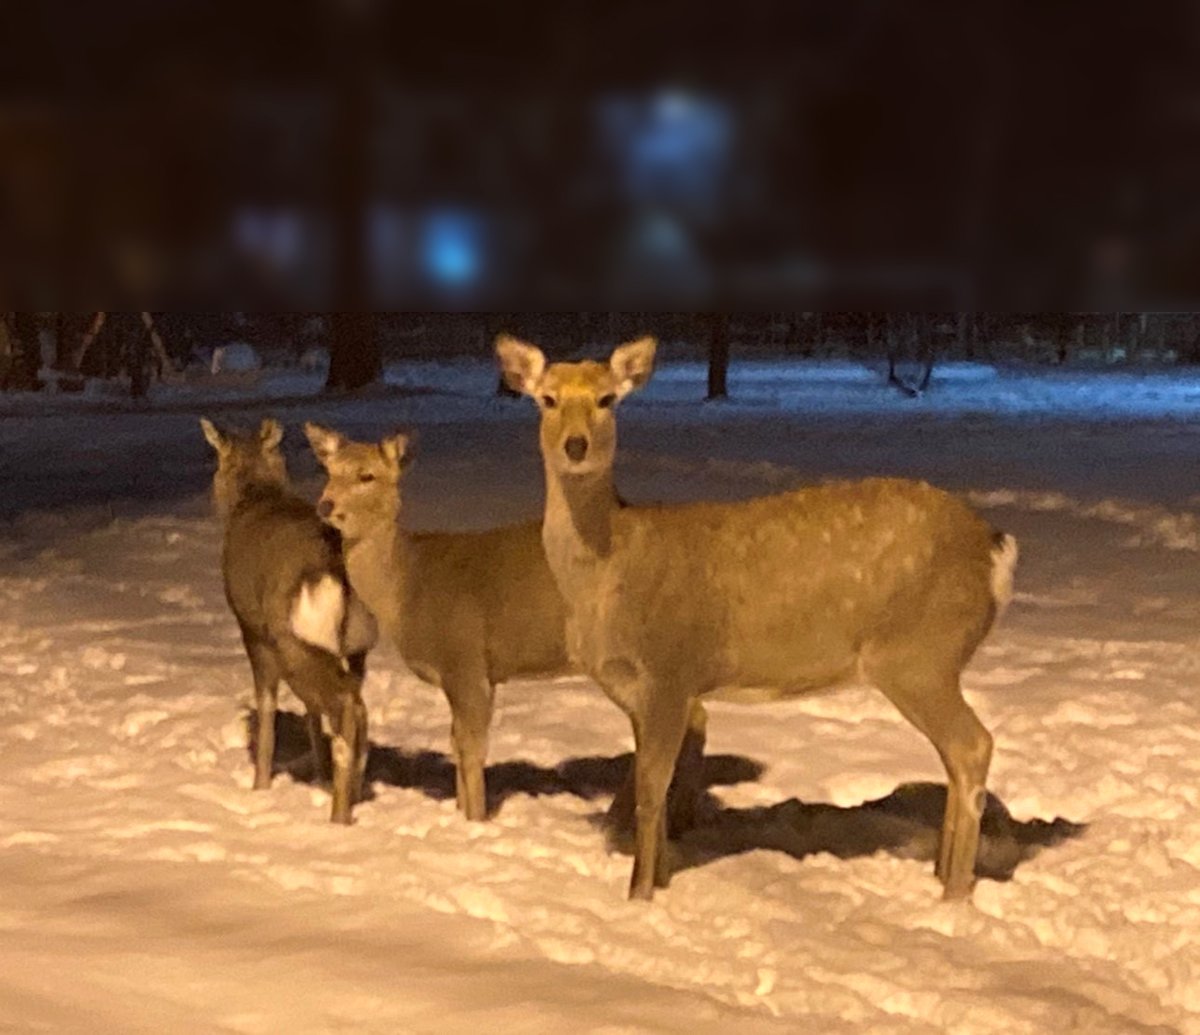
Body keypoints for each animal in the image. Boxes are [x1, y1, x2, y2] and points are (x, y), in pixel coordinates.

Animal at [201, 417, 378, 824]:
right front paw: (318, 774)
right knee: (355, 707)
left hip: (294, 637)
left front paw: (260, 786)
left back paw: (338, 816)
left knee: (346, 706)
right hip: (357, 644)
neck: (255, 496)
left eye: (217, 462)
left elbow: (266, 710)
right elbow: (310, 711)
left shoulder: (252, 629)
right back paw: (351, 795)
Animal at [304, 423, 710, 829]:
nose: (325, 505)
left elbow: (472, 748)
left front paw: (476, 821)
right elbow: (456, 743)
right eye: (328, 471)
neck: (410, 588)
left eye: (366, 475)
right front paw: (462, 815)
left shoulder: (464, 658)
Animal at [496, 334, 1019, 902]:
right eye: (547, 399)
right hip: (928, 660)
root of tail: (994, 549)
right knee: (955, 757)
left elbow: (651, 791)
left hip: (920, 654)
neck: (609, 570)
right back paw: (942, 876)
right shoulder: (638, 688)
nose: (576, 445)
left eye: (607, 399)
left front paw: (638, 897)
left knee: (973, 746)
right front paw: (661, 880)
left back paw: (954, 895)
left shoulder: (671, 669)